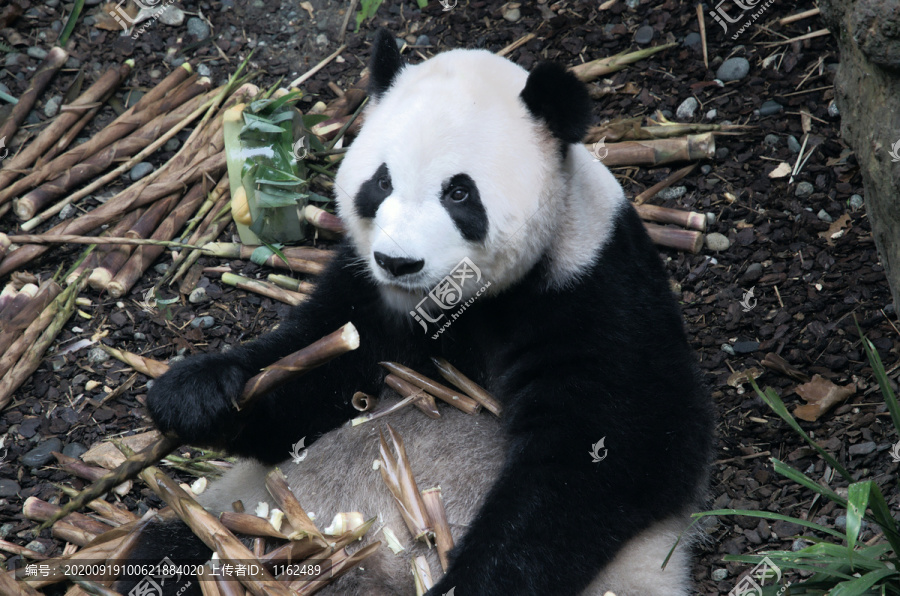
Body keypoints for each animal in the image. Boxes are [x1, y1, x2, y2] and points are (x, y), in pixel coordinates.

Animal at [126, 29, 716, 596]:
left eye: (459, 193)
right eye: (381, 182)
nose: (398, 262)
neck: (452, 308)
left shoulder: (594, 289)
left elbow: (609, 453)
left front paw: (470, 580)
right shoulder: (364, 295)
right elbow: (312, 375)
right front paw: (197, 393)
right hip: (251, 518)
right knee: (170, 552)